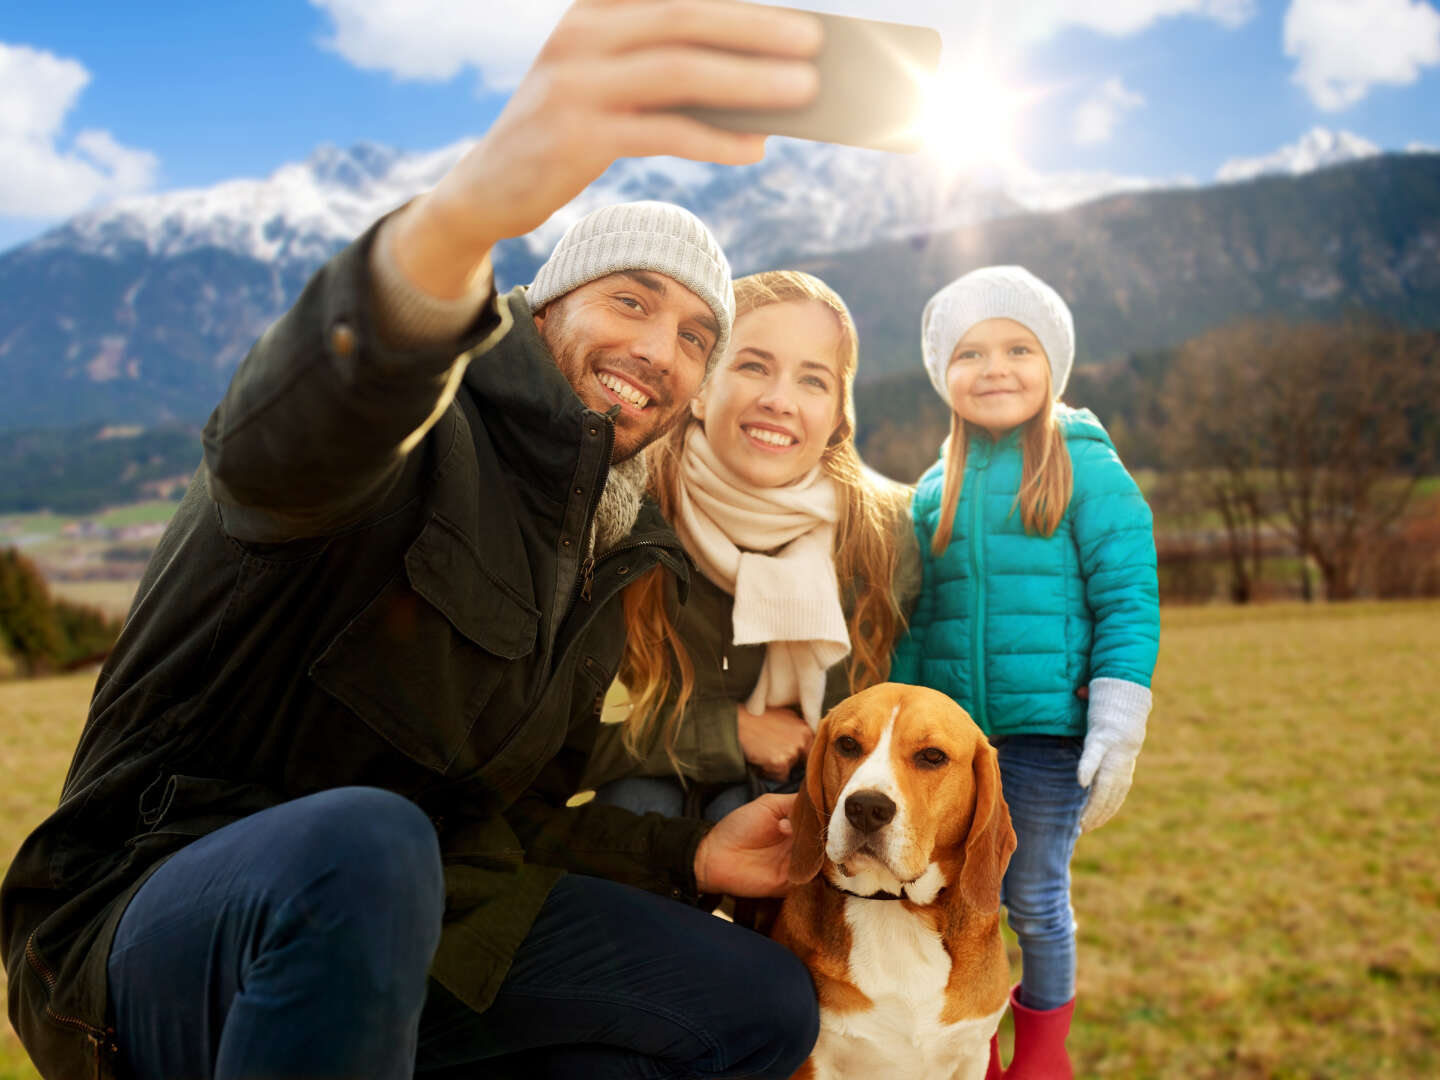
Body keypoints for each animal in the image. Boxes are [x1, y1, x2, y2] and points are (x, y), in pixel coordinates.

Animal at [771, 688, 1019, 1077]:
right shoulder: (814, 1062)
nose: (865, 808)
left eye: (932, 756)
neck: (895, 906)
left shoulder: (973, 1052)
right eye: (847, 744)